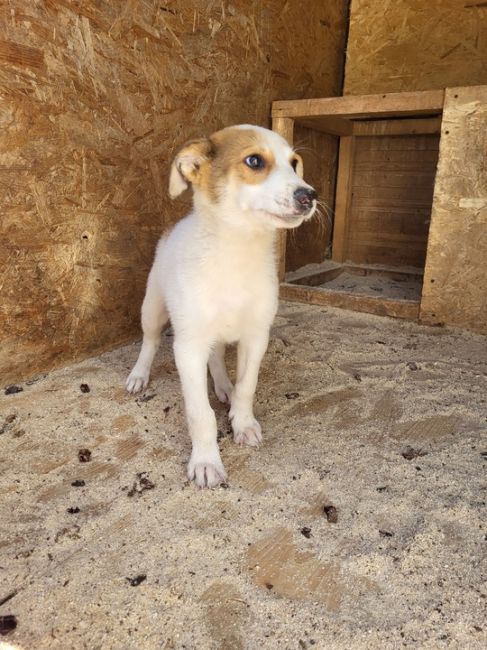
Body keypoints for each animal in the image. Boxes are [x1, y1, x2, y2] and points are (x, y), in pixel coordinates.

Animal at [127, 123, 316, 486]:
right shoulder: (188, 347)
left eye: (294, 163)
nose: (309, 196)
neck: (236, 252)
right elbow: (200, 414)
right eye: (254, 161)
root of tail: (175, 228)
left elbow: (247, 386)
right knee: (150, 341)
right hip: (153, 307)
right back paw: (139, 375)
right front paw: (206, 461)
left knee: (215, 357)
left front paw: (243, 423)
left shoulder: (256, 336)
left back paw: (223, 385)